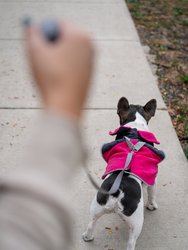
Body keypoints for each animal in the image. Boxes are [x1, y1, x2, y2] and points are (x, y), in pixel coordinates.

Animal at [82, 96, 164, 250]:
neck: (135, 128)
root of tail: (118, 192)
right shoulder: (152, 178)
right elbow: (152, 193)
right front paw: (152, 205)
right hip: (136, 222)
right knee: (131, 242)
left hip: (96, 206)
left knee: (91, 223)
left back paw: (87, 237)